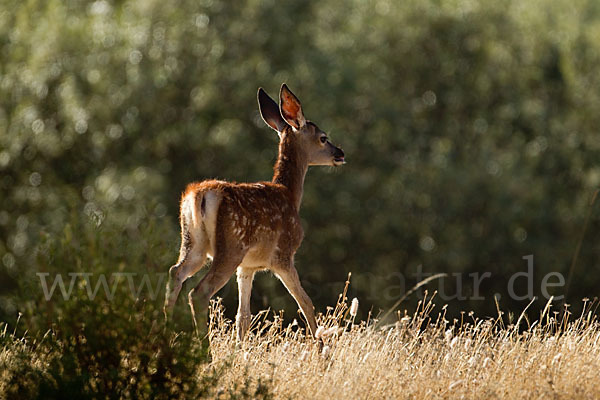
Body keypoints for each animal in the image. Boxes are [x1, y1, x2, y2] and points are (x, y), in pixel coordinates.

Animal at [164, 83, 344, 340]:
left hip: (193, 244)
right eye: (323, 138)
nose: (340, 153)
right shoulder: (283, 255)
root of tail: (199, 196)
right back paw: (203, 347)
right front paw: (321, 347)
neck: (290, 195)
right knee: (198, 292)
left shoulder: (247, 267)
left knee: (175, 273)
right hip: (230, 248)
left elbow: (243, 317)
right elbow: (306, 303)